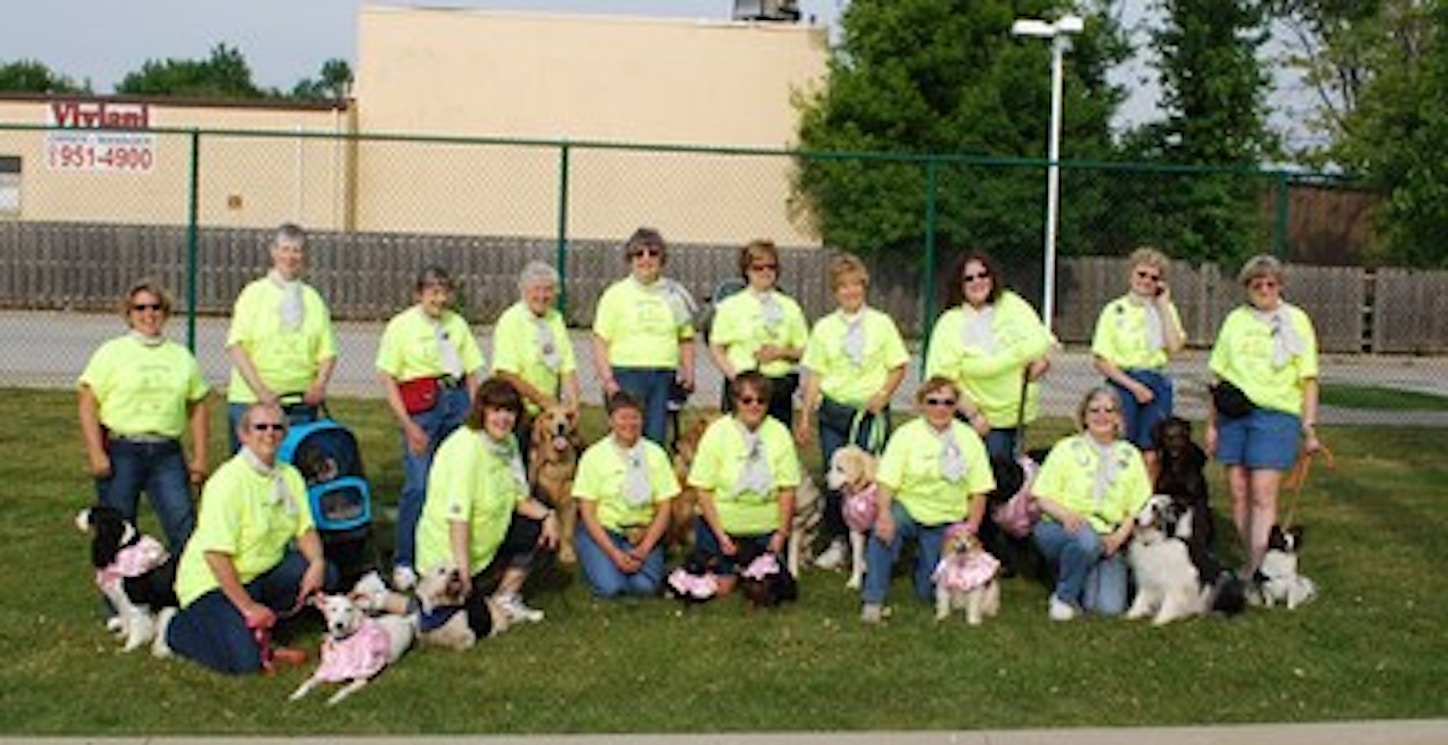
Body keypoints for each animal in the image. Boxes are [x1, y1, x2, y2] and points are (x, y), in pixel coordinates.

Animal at [74, 503, 178, 650]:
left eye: (92, 514)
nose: (76, 517)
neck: (122, 545)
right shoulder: (122, 598)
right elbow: (126, 617)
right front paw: (123, 634)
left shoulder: (135, 600)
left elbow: (136, 622)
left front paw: (129, 646)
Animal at [529, 407, 584, 567]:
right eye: (550, 416)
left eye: (568, 416)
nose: (561, 426)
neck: (558, 464)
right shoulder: (543, 498)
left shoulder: (569, 503)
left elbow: (567, 532)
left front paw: (567, 553)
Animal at [822, 445, 874, 593]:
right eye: (831, 466)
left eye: (840, 468)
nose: (825, 481)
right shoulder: (855, 530)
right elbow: (857, 558)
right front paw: (855, 582)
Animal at [1123, 497, 1251, 627]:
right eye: (1143, 506)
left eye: (1155, 508)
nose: (1135, 520)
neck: (1161, 541)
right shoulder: (1147, 576)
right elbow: (1141, 598)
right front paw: (1131, 615)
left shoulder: (1175, 581)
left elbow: (1169, 600)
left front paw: (1159, 621)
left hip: (1224, 578)